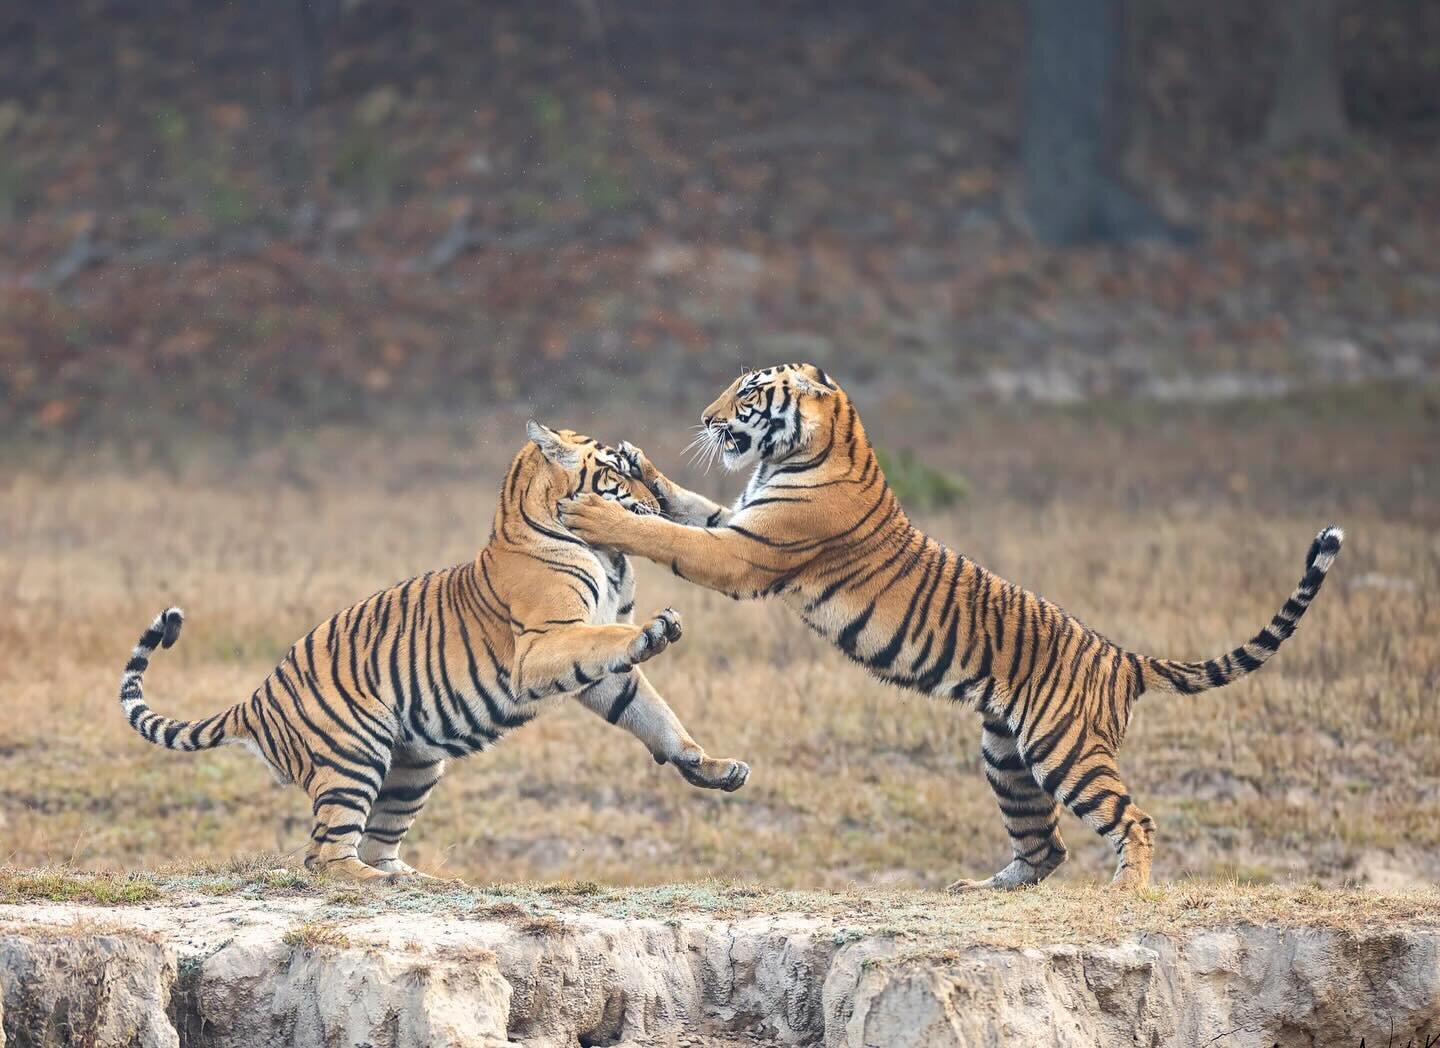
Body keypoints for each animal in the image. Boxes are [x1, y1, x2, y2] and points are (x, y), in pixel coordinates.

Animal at [116, 420, 748, 881]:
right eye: (618, 471)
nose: (659, 503)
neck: (606, 552)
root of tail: (256, 698)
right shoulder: (543, 646)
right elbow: (614, 644)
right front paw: (659, 629)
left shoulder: (601, 674)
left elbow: (654, 714)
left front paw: (710, 766)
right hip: (354, 752)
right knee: (326, 856)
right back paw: (378, 884)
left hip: (415, 768)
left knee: (374, 843)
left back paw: (420, 881)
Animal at [558, 364, 1336, 886]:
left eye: (747, 394)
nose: (704, 415)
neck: (813, 448)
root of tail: (1121, 656)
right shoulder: (735, 521)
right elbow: (686, 504)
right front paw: (640, 463)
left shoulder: (745, 553)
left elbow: (669, 534)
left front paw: (599, 511)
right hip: (1007, 756)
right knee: (1045, 847)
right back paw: (982, 890)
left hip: (1066, 752)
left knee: (1132, 820)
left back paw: (1128, 894)